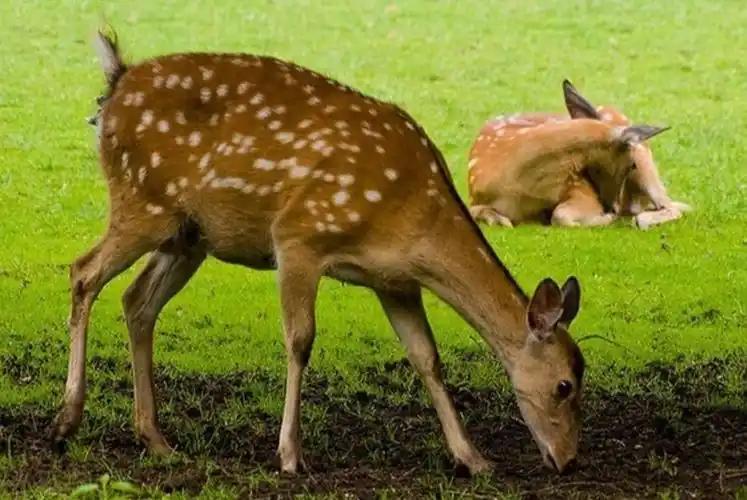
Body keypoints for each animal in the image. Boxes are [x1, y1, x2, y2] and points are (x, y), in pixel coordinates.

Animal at [51, 30, 587, 476]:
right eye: (564, 385)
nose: (568, 461)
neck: (414, 218)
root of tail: (116, 82)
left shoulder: (395, 281)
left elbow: (427, 358)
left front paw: (472, 458)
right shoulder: (299, 237)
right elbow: (300, 340)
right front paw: (290, 455)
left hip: (189, 235)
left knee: (137, 301)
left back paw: (156, 439)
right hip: (143, 202)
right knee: (83, 272)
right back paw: (66, 421)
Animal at [468, 80, 690, 229]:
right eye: (630, 165)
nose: (611, 207)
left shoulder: (579, 188)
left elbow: (560, 215)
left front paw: (605, 219)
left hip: (646, 165)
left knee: (671, 206)